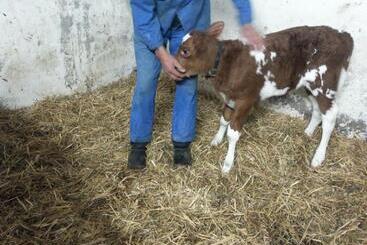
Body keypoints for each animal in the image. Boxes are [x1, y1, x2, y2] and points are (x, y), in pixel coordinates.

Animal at [177, 22, 356, 173]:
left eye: (185, 51)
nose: (174, 67)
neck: (227, 63)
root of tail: (343, 35)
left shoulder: (246, 100)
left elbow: (233, 133)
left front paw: (227, 164)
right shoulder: (230, 97)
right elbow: (223, 120)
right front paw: (216, 140)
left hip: (324, 84)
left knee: (330, 116)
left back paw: (318, 157)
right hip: (309, 86)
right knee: (318, 110)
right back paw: (308, 133)